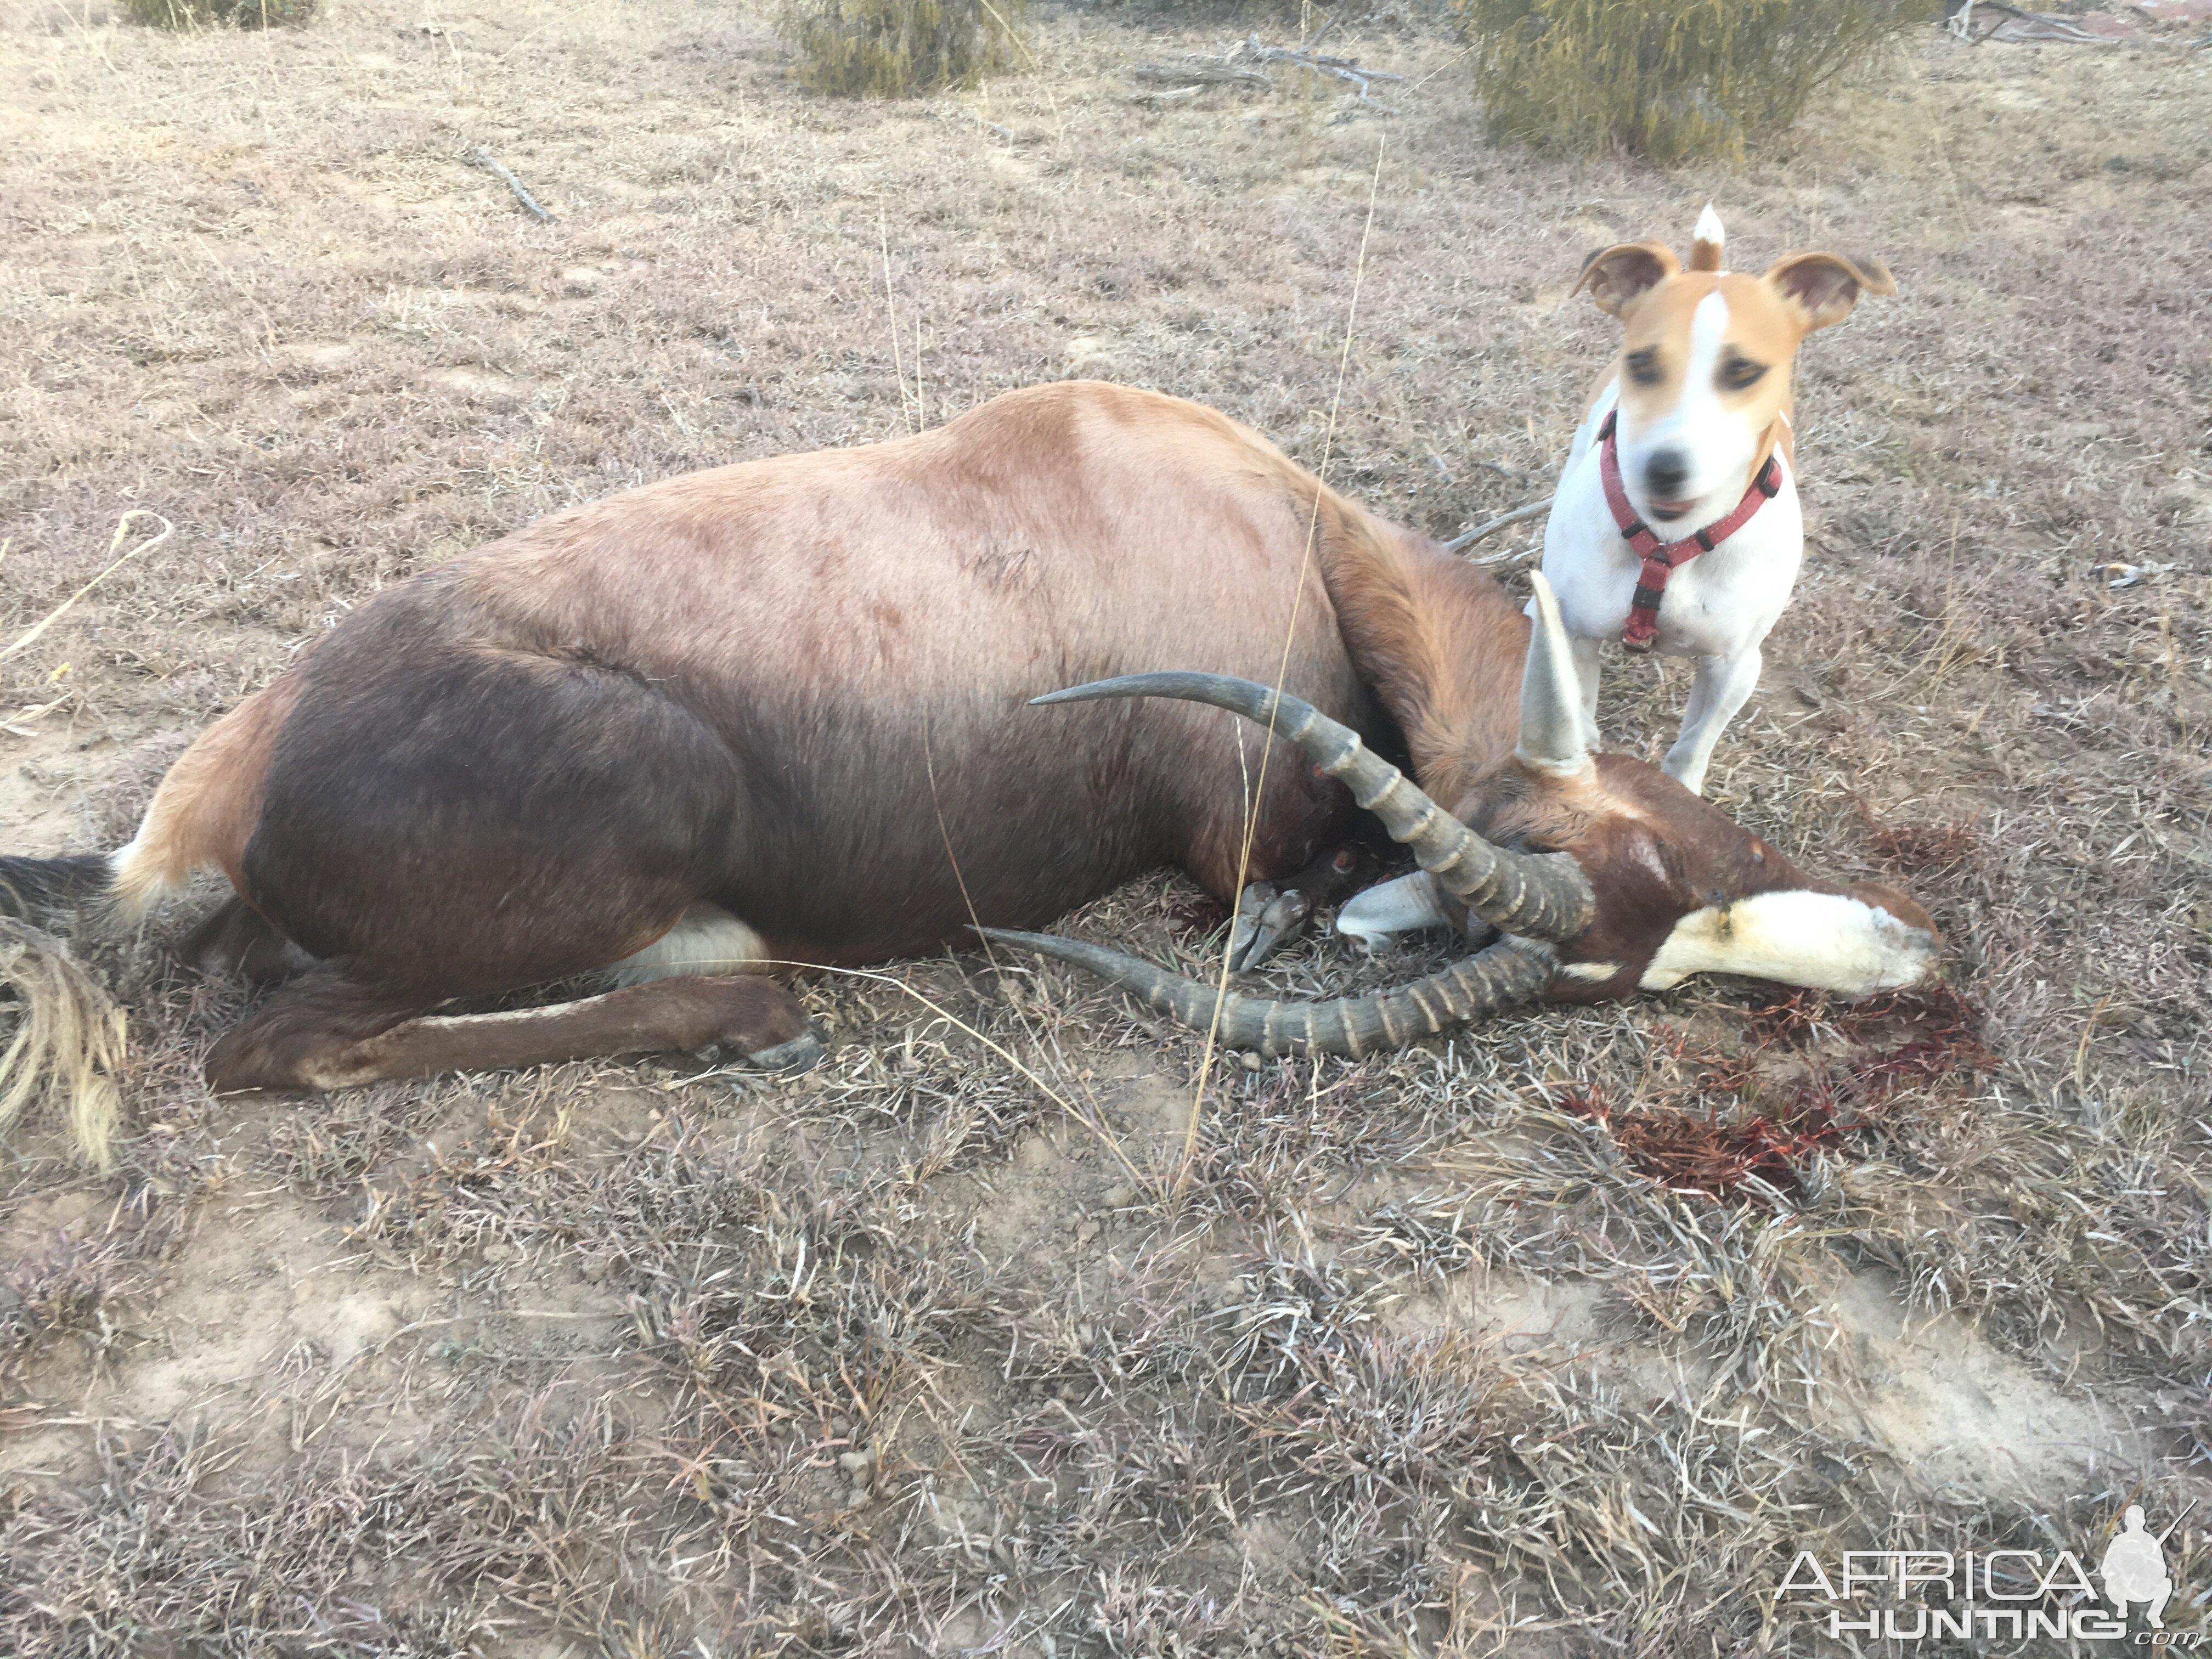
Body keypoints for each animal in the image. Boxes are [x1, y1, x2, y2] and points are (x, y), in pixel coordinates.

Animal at [0, 382, 1938, 1159]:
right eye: (1661, 879)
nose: (1915, 958)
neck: (1275, 531)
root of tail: (239, 769)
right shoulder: (1236, 829)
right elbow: (1279, 890)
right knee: (275, 1047)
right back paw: (750, 1009)